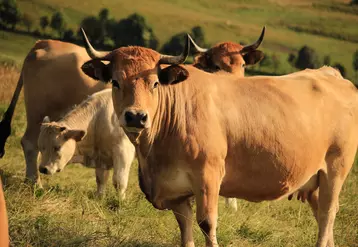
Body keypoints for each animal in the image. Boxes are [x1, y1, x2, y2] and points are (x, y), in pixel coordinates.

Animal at [80, 29, 358, 247]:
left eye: (155, 83)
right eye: (115, 82)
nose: (136, 116)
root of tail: (331, 73)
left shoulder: (209, 176)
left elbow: (207, 223)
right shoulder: (176, 193)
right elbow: (186, 230)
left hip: (336, 168)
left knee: (327, 214)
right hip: (313, 179)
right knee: (322, 213)